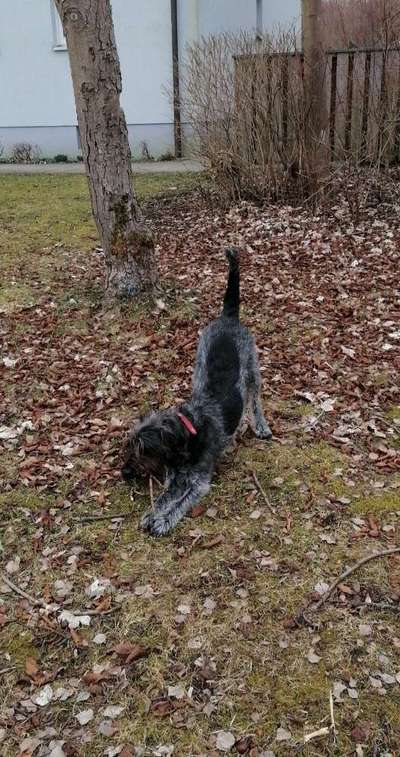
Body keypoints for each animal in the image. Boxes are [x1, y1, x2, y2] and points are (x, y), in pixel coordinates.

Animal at [122, 251, 272, 536]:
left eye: (143, 450)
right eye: (131, 446)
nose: (124, 472)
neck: (189, 430)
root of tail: (229, 316)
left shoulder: (198, 481)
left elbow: (181, 501)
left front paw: (163, 520)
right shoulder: (175, 476)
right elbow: (165, 497)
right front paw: (153, 514)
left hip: (252, 368)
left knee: (254, 400)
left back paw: (260, 425)